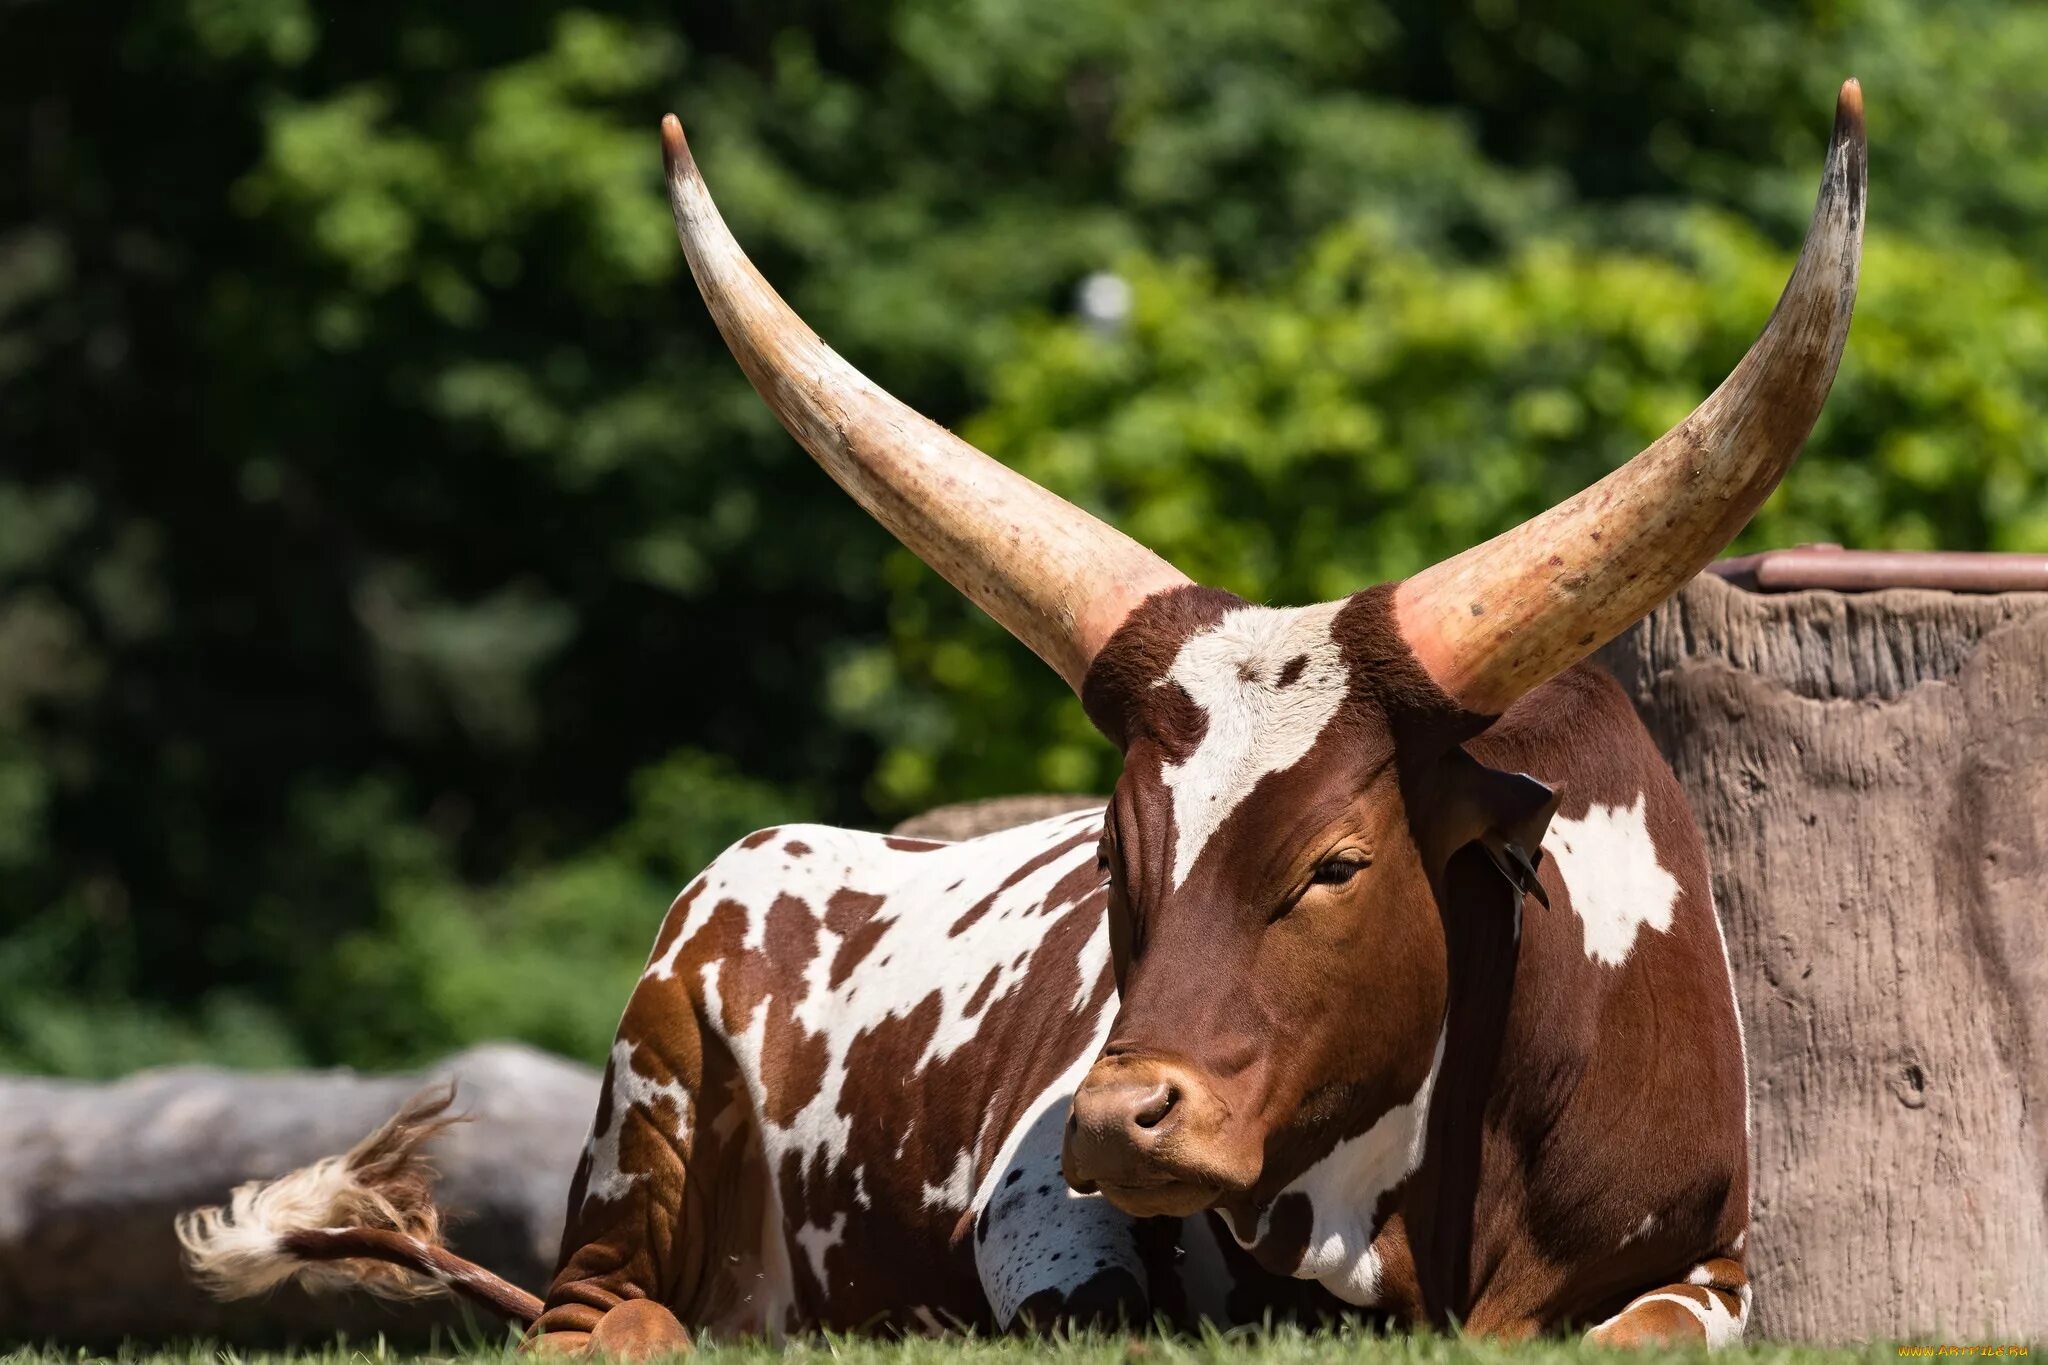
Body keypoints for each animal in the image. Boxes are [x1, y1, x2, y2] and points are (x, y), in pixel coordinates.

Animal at [180, 80, 1875, 1350]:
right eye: (1116, 859)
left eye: (1337, 862)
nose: (1123, 1120)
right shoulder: (1033, 1217)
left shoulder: (1711, 1266)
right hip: (643, 1106)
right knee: (599, 1318)